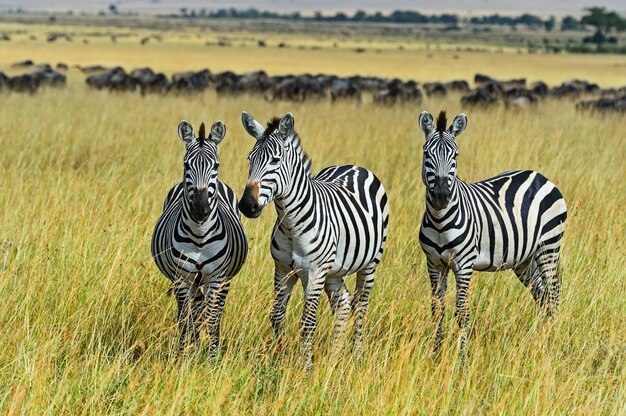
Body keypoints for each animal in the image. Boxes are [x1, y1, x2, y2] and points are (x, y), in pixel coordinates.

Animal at [151, 119, 246, 358]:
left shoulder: (216, 277)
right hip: (192, 281)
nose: (200, 209)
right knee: (193, 312)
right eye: (186, 165)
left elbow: (211, 320)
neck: (200, 236)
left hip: (223, 280)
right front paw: (183, 357)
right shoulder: (182, 277)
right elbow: (185, 320)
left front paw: (212, 359)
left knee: (214, 313)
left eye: (216, 166)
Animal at [238, 110, 388, 370]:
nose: (247, 206)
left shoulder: (315, 272)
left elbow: (307, 323)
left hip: (370, 263)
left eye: (275, 160)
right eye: (250, 159)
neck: (290, 225)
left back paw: (356, 356)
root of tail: (354, 166)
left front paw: (305, 368)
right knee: (343, 304)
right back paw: (335, 358)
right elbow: (277, 315)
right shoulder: (282, 269)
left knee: (360, 307)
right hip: (334, 271)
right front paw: (281, 358)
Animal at [416, 110, 564, 360]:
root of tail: (539, 176)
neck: (439, 220)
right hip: (524, 260)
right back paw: (541, 342)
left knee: (553, 298)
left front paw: (462, 360)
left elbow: (461, 313)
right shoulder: (434, 264)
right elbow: (437, 310)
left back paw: (551, 347)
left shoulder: (464, 264)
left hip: (549, 248)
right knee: (542, 296)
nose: (442, 196)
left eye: (456, 155)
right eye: (427, 153)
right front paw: (435, 356)